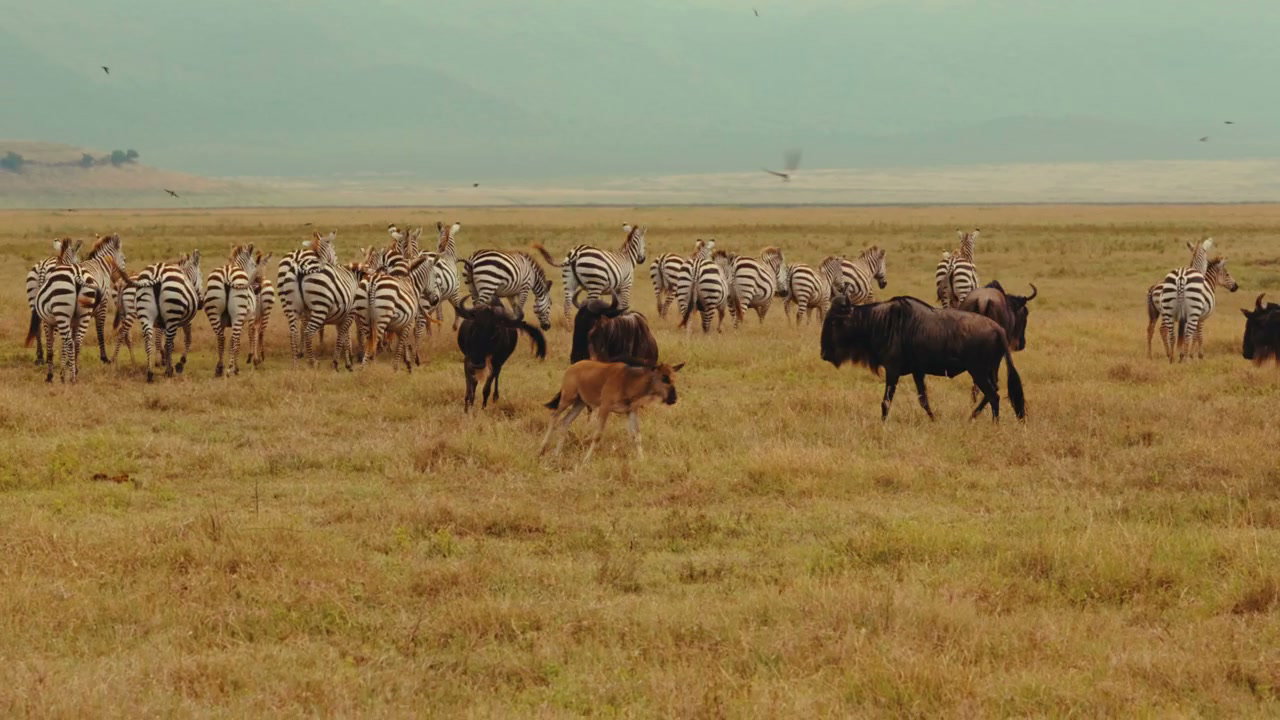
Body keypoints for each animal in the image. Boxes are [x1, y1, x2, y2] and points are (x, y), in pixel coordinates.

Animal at [203, 244, 260, 377]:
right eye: (254, 265)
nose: (257, 286)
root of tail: (227, 274)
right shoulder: (247, 319)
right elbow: (237, 343)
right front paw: (236, 368)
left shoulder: (224, 322)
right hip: (238, 315)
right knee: (233, 339)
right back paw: (229, 369)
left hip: (214, 312)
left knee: (220, 337)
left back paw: (219, 368)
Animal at [297, 232, 359, 370]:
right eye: (334, 250)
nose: (336, 262)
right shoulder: (349, 313)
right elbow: (343, 334)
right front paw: (344, 361)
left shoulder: (342, 315)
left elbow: (343, 335)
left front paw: (348, 360)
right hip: (320, 307)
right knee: (308, 331)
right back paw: (313, 362)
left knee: (302, 329)